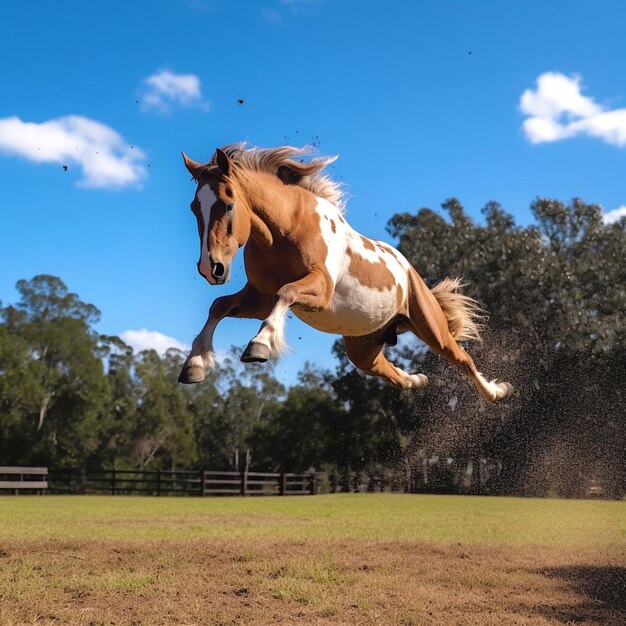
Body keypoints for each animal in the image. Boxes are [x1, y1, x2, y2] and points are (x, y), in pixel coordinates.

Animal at [177, 143, 512, 400]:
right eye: (194, 207)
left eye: (228, 203)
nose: (211, 268)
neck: (285, 230)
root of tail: (410, 273)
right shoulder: (259, 299)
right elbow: (219, 306)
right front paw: (194, 364)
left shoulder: (319, 290)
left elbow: (285, 293)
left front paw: (259, 345)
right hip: (363, 347)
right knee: (389, 372)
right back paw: (417, 380)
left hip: (431, 328)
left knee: (463, 359)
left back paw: (497, 392)